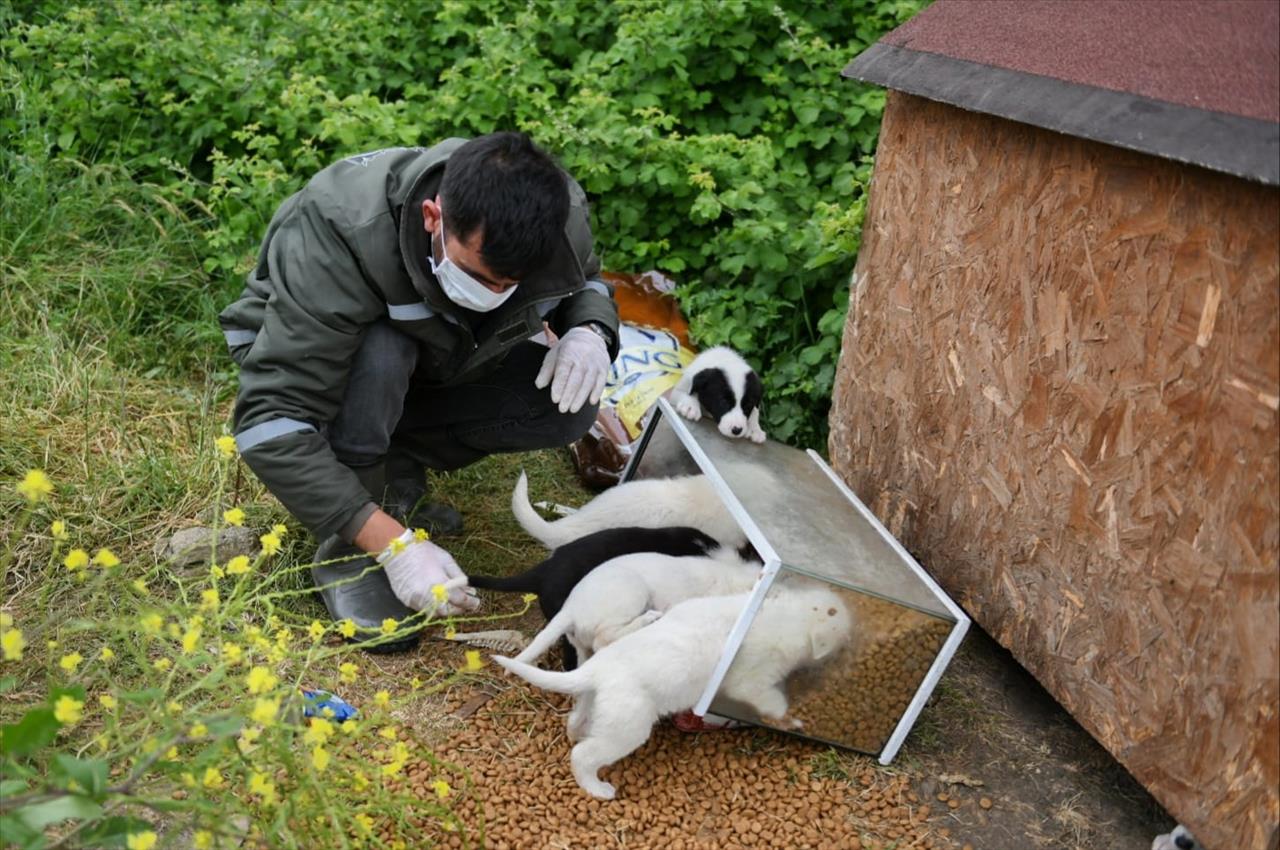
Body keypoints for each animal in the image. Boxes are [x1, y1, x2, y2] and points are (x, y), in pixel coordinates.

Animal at [496, 588, 849, 798]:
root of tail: (596, 669)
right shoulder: (753, 679)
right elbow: (773, 700)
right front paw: (794, 720)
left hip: (596, 701)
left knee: (575, 721)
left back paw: (576, 731)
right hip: (628, 727)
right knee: (582, 755)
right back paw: (599, 789)